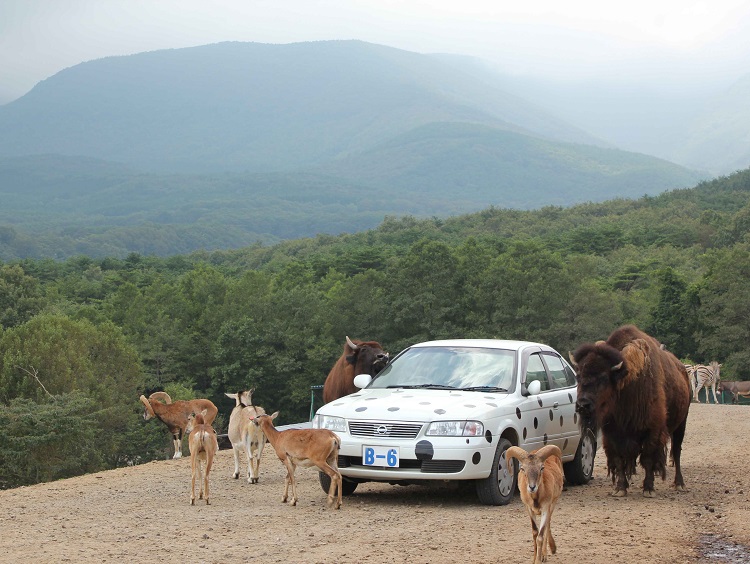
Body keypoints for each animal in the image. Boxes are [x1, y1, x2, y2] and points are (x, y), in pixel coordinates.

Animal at [570, 325, 691, 497]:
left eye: (603, 377)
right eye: (578, 376)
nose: (583, 405)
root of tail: (683, 371)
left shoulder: (652, 430)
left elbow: (648, 458)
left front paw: (648, 489)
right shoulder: (612, 433)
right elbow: (619, 460)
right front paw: (620, 488)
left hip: (682, 423)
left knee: (677, 451)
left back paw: (679, 484)